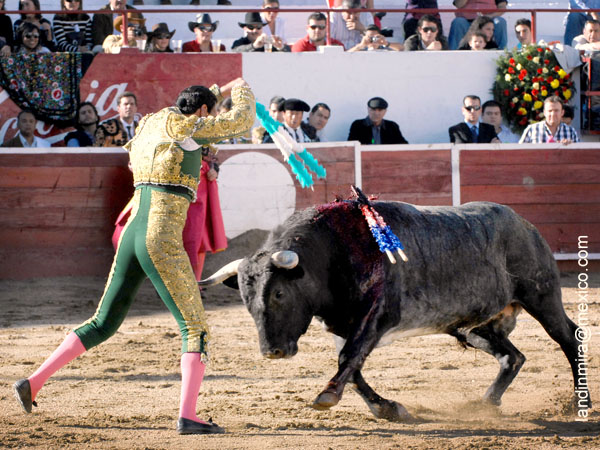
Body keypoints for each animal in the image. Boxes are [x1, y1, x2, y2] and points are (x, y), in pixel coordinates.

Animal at [202, 199, 592, 420]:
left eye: (280, 293)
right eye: (245, 299)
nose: (272, 352)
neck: (334, 251)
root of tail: (525, 225)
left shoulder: (377, 316)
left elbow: (348, 359)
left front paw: (328, 396)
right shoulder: (342, 326)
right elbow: (353, 368)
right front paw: (387, 408)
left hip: (541, 296)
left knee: (569, 337)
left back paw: (580, 404)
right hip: (473, 327)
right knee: (513, 356)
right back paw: (485, 403)